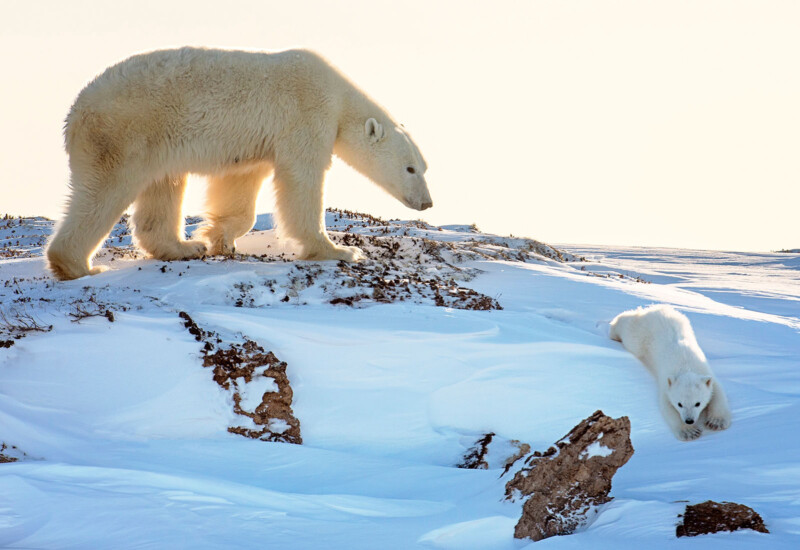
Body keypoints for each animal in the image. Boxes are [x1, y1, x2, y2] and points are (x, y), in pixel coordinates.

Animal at [45, 46, 432, 280]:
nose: (427, 202)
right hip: (124, 133)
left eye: (424, 167)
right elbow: (302, 179)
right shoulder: (307, 114)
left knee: (164, 185)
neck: (338, 96)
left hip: (156, 142)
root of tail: (74, 113)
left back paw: (184, 247)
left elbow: (240, 183)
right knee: (103, 192)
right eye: (410, 168)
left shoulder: (255, 143)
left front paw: (217, 238)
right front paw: (339, 250)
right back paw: (77, 266)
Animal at [608, 306, 728, 444]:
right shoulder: (667, 383)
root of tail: (655, 309)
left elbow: (718, 392)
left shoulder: (705, 371)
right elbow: (667, 406)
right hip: (641, 336)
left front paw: (716, 422)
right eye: (679, 404)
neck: (687, 366)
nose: (689, 420)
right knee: (629, 331)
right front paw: (689, 432)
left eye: (698, 403)